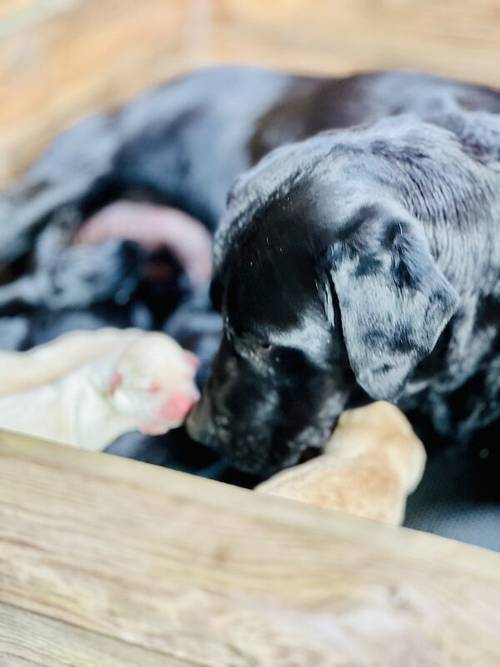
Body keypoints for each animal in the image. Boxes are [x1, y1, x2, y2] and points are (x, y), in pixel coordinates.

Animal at [0, 332, 199, 452]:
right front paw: (149, 423)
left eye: (188, 376)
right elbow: (99, 427)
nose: (185, 405)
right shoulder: (86, 410)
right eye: (150, 389)